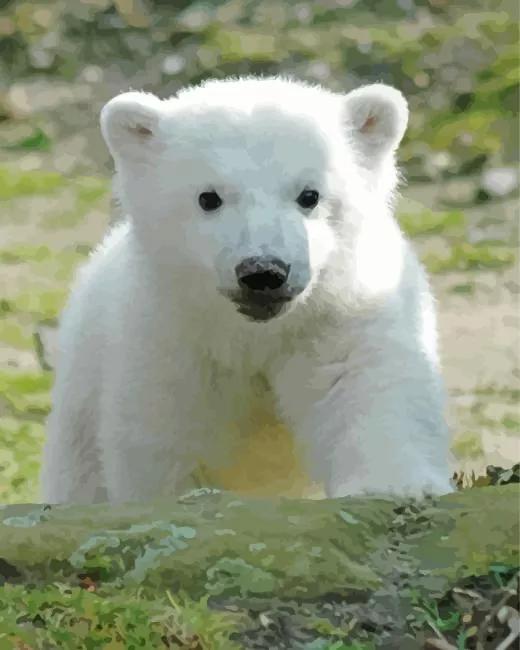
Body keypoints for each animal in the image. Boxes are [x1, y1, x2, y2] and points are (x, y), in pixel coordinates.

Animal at [39, 75, 454, 504]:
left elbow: (365, 383)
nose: (263, 272)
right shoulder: (171, 337)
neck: (254, 333)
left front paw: (393, 485)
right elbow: (167, 440)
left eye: (310, 195)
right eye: (209, 197)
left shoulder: (344, 311)